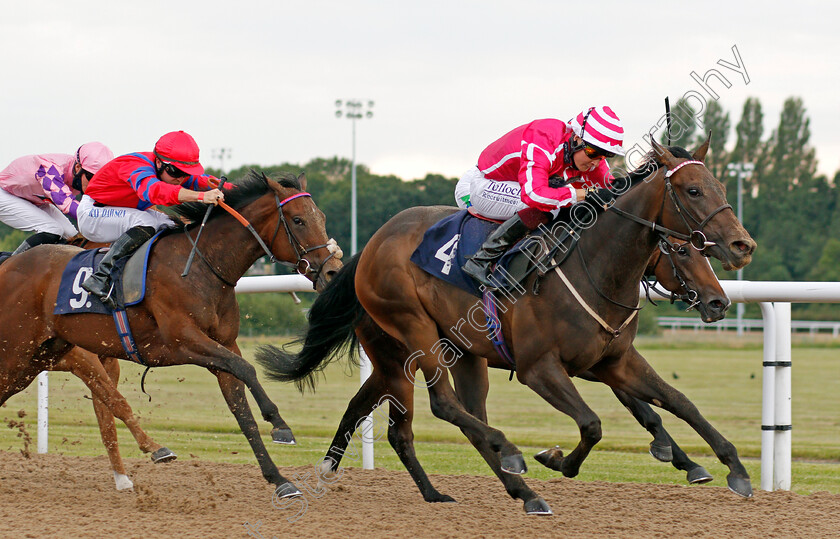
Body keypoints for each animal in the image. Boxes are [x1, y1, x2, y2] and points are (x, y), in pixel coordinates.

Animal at [0, 172, 342, 498]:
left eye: (323, 217)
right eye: (298, 220)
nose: (333, 271)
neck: (202, 265)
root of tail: (10, 265)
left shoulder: (223, 346)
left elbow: (242, 412)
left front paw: (280, 480)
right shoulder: (184, 342)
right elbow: (246, 369)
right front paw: (280, 425)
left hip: (38, 357)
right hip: (17, 350)